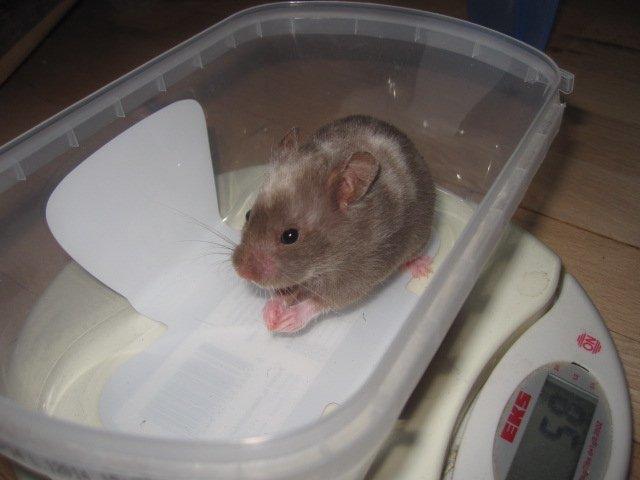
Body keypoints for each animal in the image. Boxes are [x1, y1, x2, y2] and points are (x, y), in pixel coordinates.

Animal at [232, 115, 435, 333]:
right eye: (248, 214)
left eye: (290, 236)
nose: (241, 272)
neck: (320, 261)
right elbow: (286, 291)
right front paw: (270, 316)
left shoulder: (354, 276)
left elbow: (321, 301)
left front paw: (286, 322)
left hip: (419, 238)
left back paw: (423, 269)